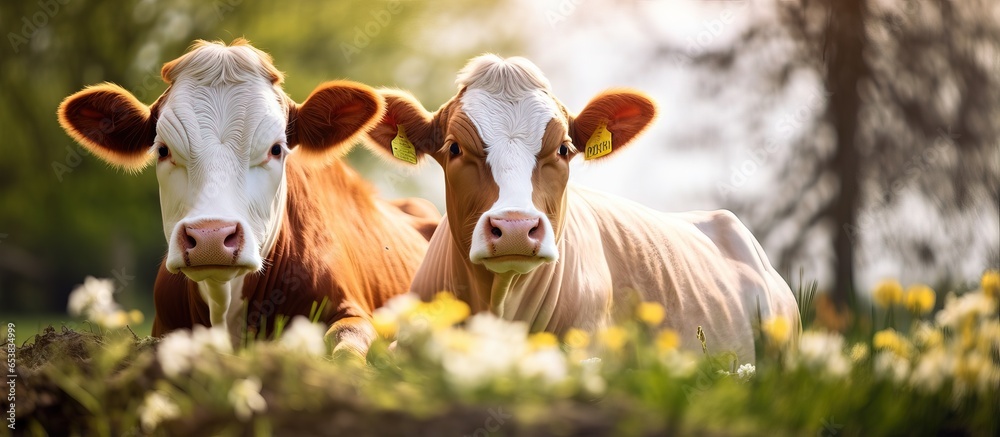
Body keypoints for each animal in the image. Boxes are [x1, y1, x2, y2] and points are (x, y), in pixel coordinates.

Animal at [58, 39, 438, 356]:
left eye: (276, 149)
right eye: (163, 149)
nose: (210, 238)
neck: (224, 303)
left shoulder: (351, 311)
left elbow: (346, 350)